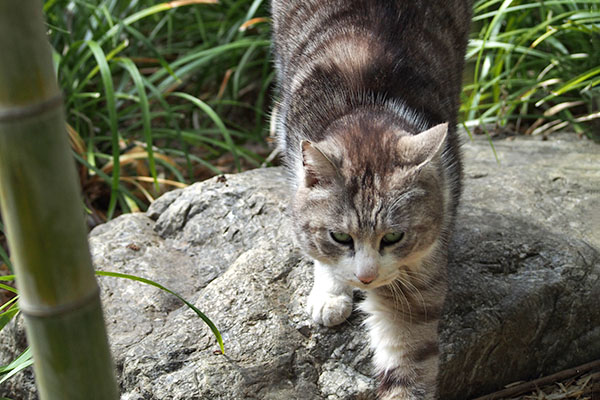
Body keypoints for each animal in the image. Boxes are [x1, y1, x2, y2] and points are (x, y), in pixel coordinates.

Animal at [270, 1, 472, 398]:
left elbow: (409, 355)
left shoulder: (422, 268)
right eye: (340, 237)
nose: (366, 279)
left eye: (393, 237)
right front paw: (330, 293)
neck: (366, 108)